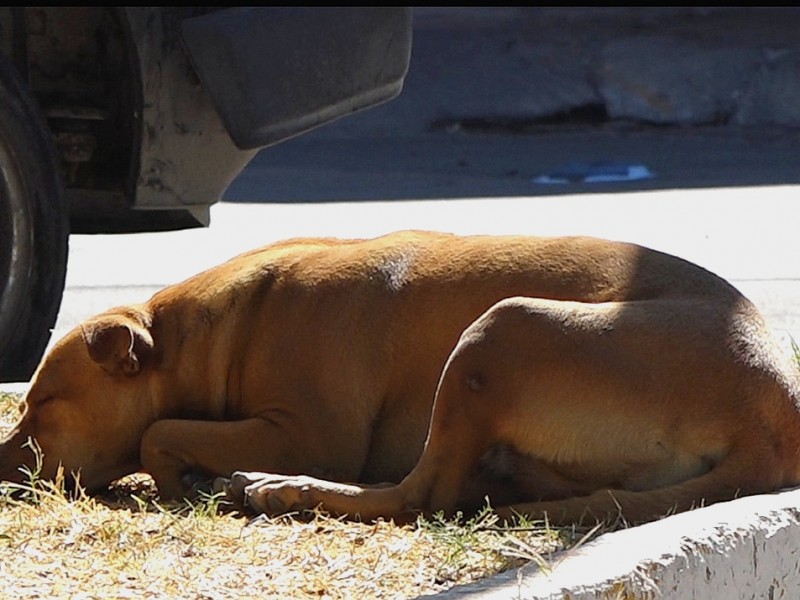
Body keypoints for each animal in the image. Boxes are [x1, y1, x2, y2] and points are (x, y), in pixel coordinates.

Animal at [1, 231, 800, 524]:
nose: (1, 464)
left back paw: (287, 490)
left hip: (499, 331)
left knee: (419, 494)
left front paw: (184, 477)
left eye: (41, 405)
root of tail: (777, 414)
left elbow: (158, 432)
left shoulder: (309, 432)